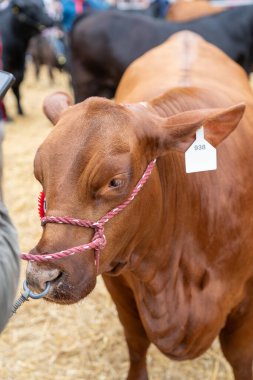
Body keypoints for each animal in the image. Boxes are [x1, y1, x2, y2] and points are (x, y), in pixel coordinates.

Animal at [25, 32, 253, 380]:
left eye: (115, 181)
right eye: (40, 176)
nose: (42, 275)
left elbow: (241, 358)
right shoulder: (118, 284)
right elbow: (135, 341)